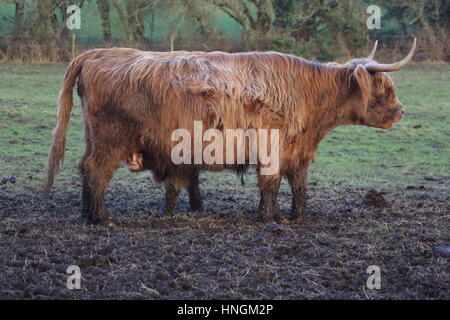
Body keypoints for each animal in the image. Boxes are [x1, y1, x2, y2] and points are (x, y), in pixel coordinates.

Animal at [44, 39, 416, 225]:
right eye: (385, 88)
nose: (401, 111)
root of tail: (98, 53)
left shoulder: (296, 150)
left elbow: (298, 183)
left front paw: (296, 215)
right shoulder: (271, 146)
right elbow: (270, 183)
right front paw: (269, 218)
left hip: (94, 137)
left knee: (84, 167)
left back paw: (86, 213)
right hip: (111, 138)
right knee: (96, 170)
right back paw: (101, 218)